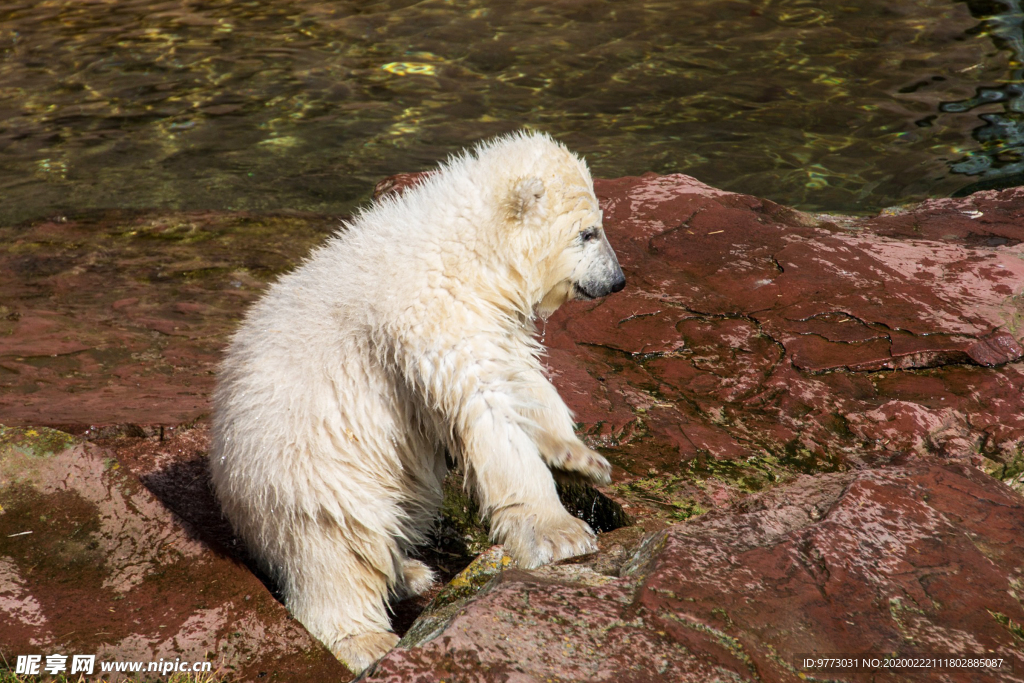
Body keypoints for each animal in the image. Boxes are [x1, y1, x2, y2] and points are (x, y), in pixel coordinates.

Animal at [209, 129, 622, 671]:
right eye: (588, 233)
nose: (617, 281)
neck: (466, 249)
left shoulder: (487, 315)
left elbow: (519, 376)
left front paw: (581, 459)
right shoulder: (433, 315)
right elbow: (487, 411)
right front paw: (561, 533)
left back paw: (410, 572)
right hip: (309, 471)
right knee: (338, 549)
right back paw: (366, 638)